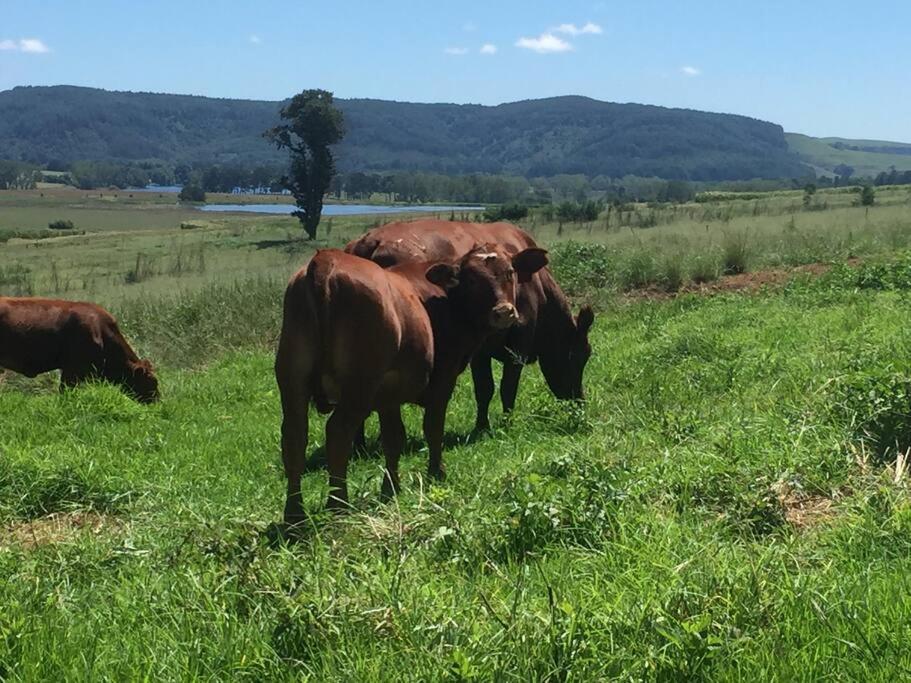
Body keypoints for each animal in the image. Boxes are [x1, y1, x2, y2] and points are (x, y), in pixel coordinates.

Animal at [278, 246, 544, 520]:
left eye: (509, 272)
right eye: (472, 279)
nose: (504, 312)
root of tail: (326, 259)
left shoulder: (388, 394)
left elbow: (393, 439)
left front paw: (392, 487)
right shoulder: (442, 379)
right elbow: (433, 428)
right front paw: (437, 473)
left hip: (292, 383)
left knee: (294, 438)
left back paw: (294, 513)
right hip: (358, 387)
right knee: (337, 433)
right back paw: (338, 504)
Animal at [346, 222, 596, 430]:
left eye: (511, 273)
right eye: (579, 356)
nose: (579, 403)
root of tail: (370, 240)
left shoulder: (482, 350)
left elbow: (486, 388)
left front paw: (483, 425)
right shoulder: (516, 345)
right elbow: (502, 387)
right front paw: (504, 423)